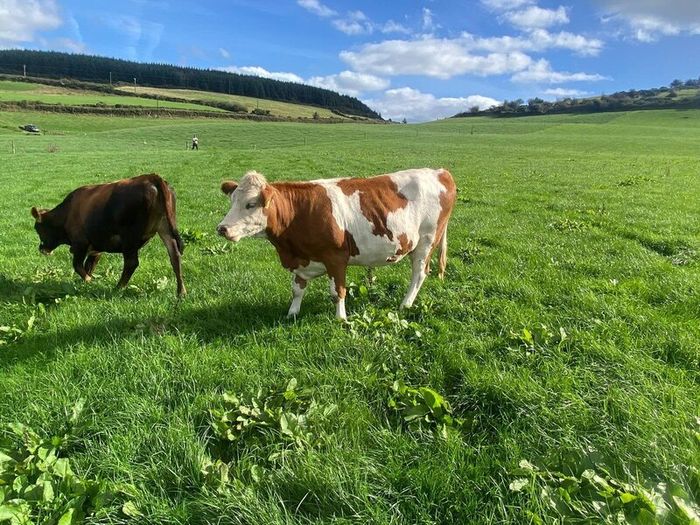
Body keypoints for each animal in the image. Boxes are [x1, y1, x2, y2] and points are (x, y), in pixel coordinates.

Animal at [30, 174, 186, 296]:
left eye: (39, 229)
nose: (41, 248)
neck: (67, 213)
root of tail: (150, 177)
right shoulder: (96, 248)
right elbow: (89, 266)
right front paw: (86, 282)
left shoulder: (80, 243)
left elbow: (77, 265)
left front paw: (89, 280)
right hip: (165, 228)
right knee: (175, 256)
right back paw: (181, 292)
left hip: (129, 237)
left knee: (131, 263)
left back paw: (118, 287)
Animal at [216, 168, 456, 319]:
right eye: (232, 200)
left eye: (250, 204)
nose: (222, 228)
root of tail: (440, 172)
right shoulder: (302, 260)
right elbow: (297, 289)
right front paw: (292, 313)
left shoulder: (336, 258)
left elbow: (338, 291)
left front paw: (341, 319)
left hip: (426, 241)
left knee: (420, 273)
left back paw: (405, 304)